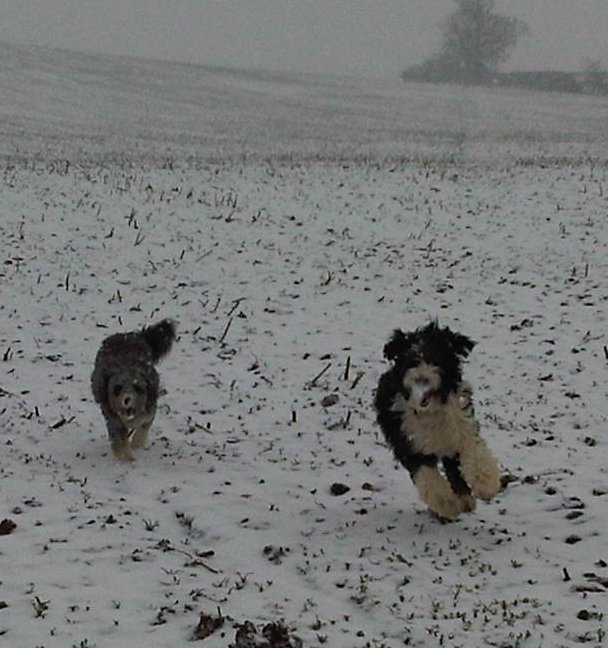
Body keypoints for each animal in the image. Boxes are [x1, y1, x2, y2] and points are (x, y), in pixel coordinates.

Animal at [91, 318, 176, 460]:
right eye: (117, 388)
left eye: (137, 387)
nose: (127, 400)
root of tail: (131, 335)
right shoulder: (112, 418)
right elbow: (119, 438)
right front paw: (124, 455)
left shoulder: (150, 407)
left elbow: (143, 423)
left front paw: (136, 443)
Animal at [376, 322, 498, 520]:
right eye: (410, 361)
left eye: (435, 358)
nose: (422, 377)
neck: (430, 410)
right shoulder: (409, 444)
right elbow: (428, 477)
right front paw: (447, 503)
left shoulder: (462, 428)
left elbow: (475, 452)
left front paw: (485, 485)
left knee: (453, 468)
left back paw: (465, 498)